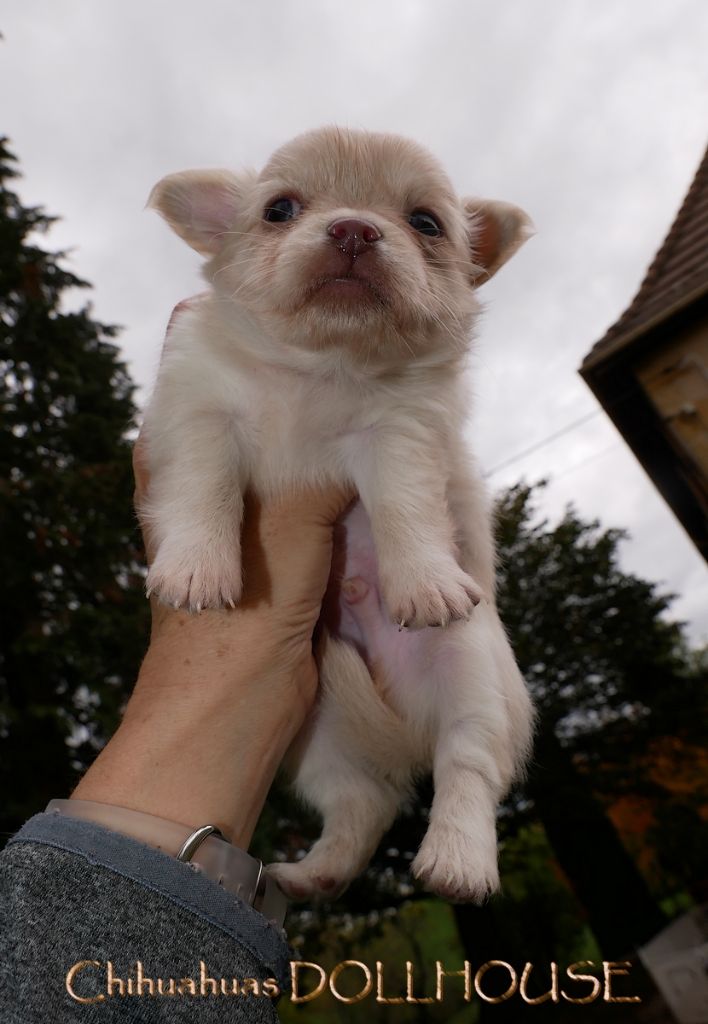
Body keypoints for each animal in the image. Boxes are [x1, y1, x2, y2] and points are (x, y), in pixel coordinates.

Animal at [142, 127, 535, 902]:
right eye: (279, 209)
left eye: (425, 223)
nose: (354, 227)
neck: (322, 367)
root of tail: (398, 724)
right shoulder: (198, 408)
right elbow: (206, 485)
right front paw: (198, 569)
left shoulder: (400, 434)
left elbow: (405, 507)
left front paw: (425, 583)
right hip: (315, 727)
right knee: (364, 804)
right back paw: (305, 877)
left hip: (471, 671)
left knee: (466, 765)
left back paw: (458, 862)